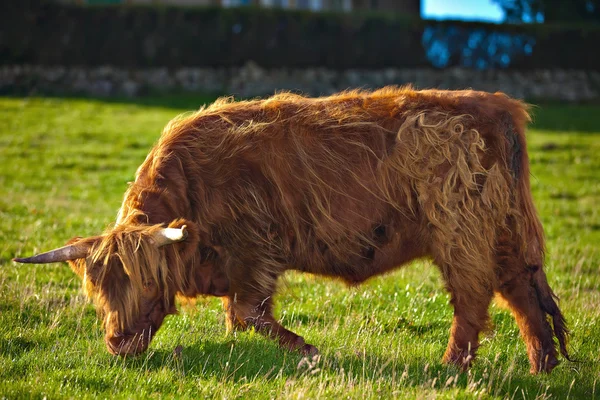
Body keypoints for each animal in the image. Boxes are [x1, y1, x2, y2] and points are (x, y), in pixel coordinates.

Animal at [14, 86, 568, 372]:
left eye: (146, 279)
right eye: (99, 291)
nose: (118, 344)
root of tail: (497, 106)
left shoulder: (255, 249)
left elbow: (249, 311)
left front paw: (309, 352)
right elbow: (241, 316)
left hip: (461, 230)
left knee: (473, 295)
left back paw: (452, 366)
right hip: (502, 229)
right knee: (521, 291)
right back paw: (541, 365)